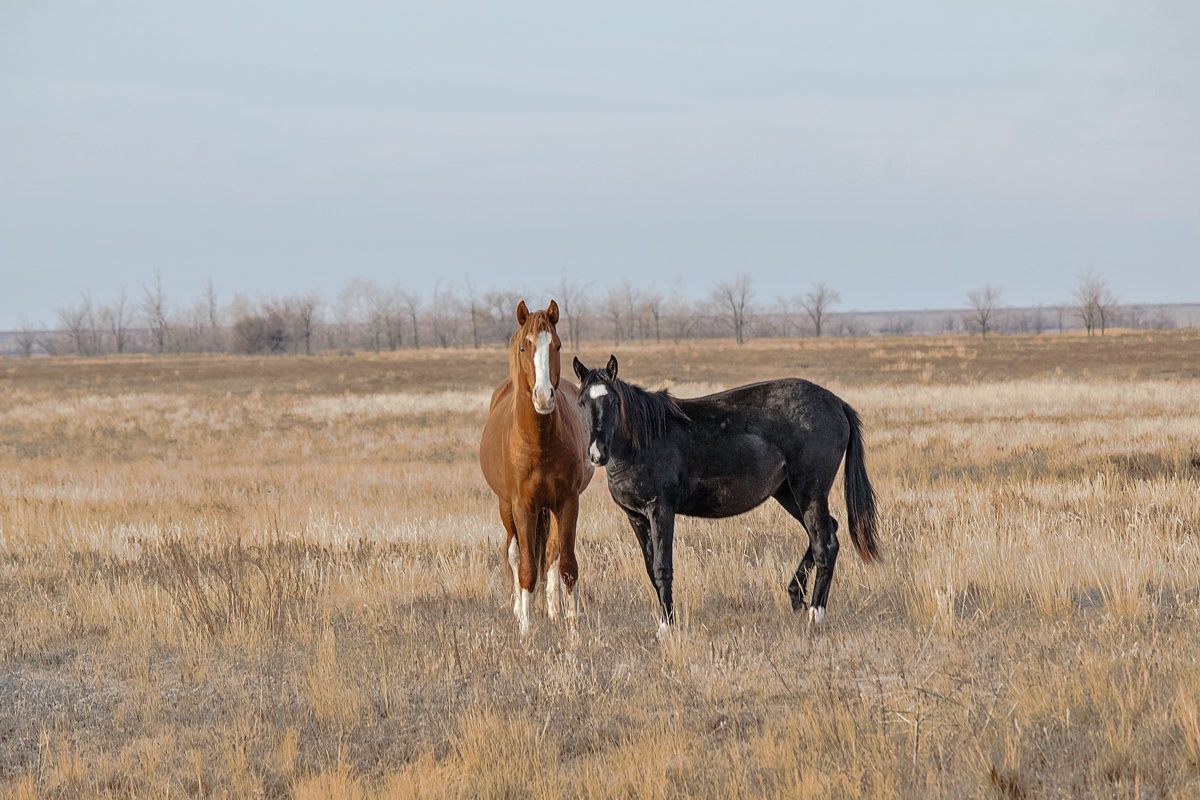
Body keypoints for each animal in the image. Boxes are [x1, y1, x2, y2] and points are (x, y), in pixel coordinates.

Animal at [475, 299, 592, 638]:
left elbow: (566, 564)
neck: (539, 442)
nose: (543, 397)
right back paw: (519, 611)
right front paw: (526, 629)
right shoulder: (522, 506)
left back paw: (553, 611)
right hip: (507, 508)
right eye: (524, 347)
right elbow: (526, 567)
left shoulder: (567, 502)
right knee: (515, 555)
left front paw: (572, 628)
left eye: (557, 345)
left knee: (551, 554)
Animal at [571, 357, 883, 623]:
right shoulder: (635, 517)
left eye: (613, 400)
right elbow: (650, 569)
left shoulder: (661, 510)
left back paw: (815, 615)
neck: (645, 440)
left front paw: (667, 626)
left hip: (809, 492)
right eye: (582, 402)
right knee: (827, 532)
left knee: (825, 545)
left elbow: (663, 568)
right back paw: (796, 598)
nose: (597, 452)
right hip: (788, 493)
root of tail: (837, 403)